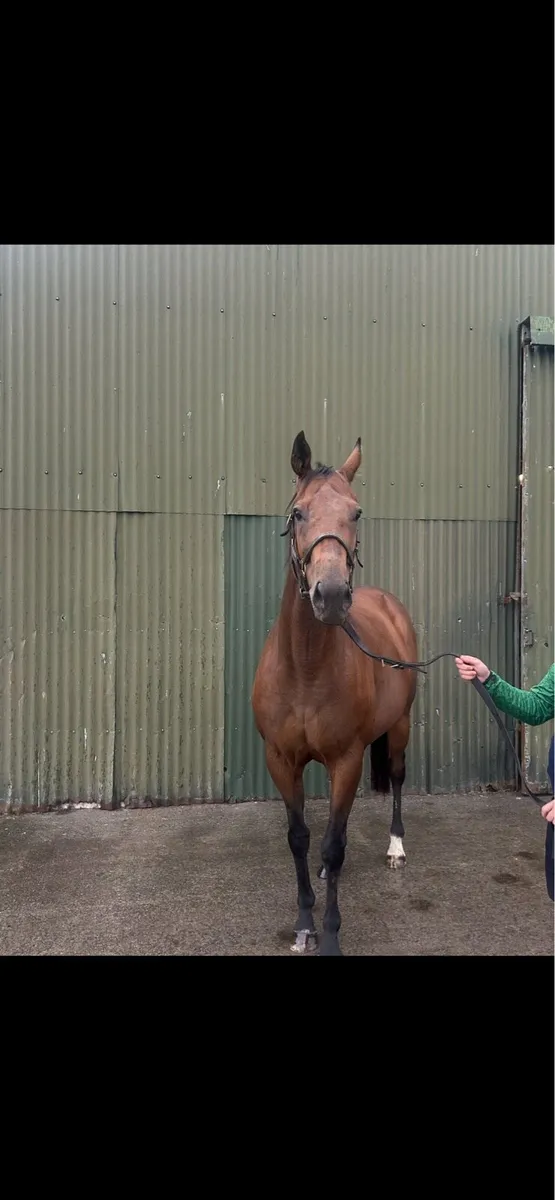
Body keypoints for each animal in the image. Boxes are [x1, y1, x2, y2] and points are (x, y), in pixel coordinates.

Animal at [251, 431, 418, 956]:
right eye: (298, 513)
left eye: (356, 512)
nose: (330, 595)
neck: (305, 667)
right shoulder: (281, 759)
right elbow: (301, 838)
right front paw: (304, 922)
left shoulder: (346, 758)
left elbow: (334, 843)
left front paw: (329, 934)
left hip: (400, 726)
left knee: (398, 779)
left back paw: (396, 848)